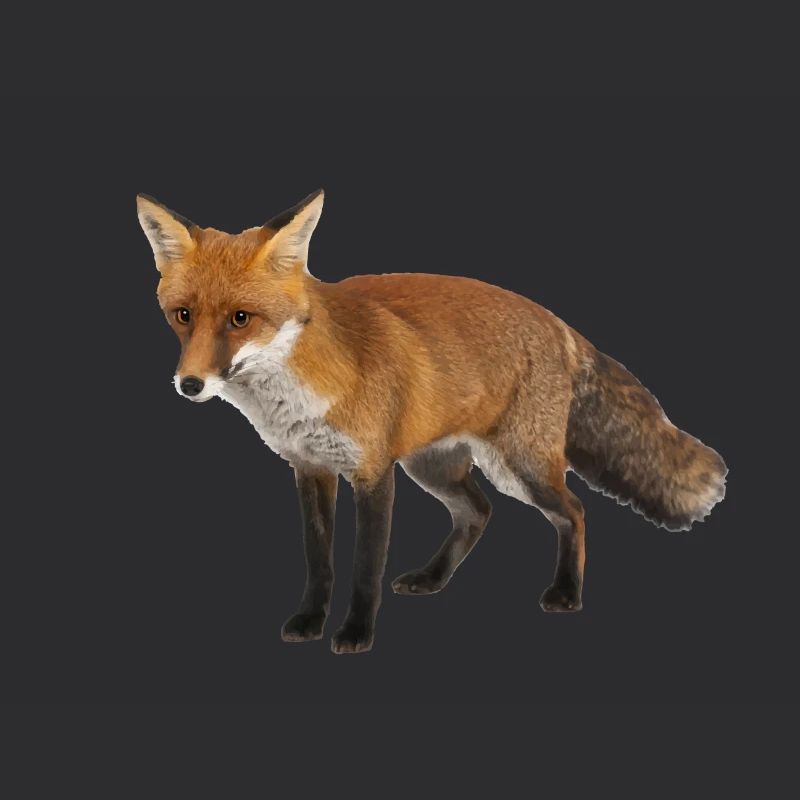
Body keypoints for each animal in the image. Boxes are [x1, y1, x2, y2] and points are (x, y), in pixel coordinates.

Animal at [137, 189, 727, 654]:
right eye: (183, 315)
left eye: (241, 319)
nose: (190, 385)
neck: (297, 392)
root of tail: (559, 323)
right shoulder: (310, 469)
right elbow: (318, 562)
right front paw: (309, 621)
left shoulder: (373, 472)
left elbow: (365, 567)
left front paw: (355, 633)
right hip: (435, 467)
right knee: (479, 512)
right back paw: (434, 578)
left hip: (520, 468)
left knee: (575, 512)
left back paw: (566, 593)